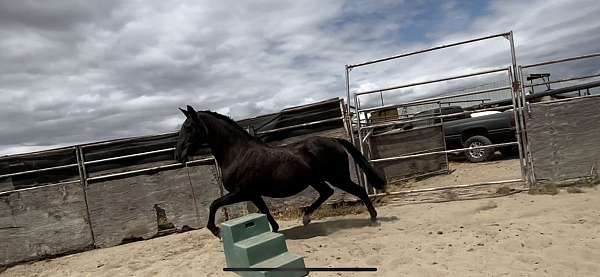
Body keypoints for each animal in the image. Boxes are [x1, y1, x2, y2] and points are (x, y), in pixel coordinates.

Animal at [176, 104, 386, 236]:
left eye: (189, 127)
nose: (178, 156)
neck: (238, 153)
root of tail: (334, 140)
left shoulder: (241, 192)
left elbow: (214, 204)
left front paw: (216, 231)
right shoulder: (253, 194)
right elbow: (264, 211)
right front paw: (275, 229)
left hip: (337, 176)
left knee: (358, 190)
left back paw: (373, 219)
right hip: (317, 180)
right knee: (327, 192)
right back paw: (306, 218)